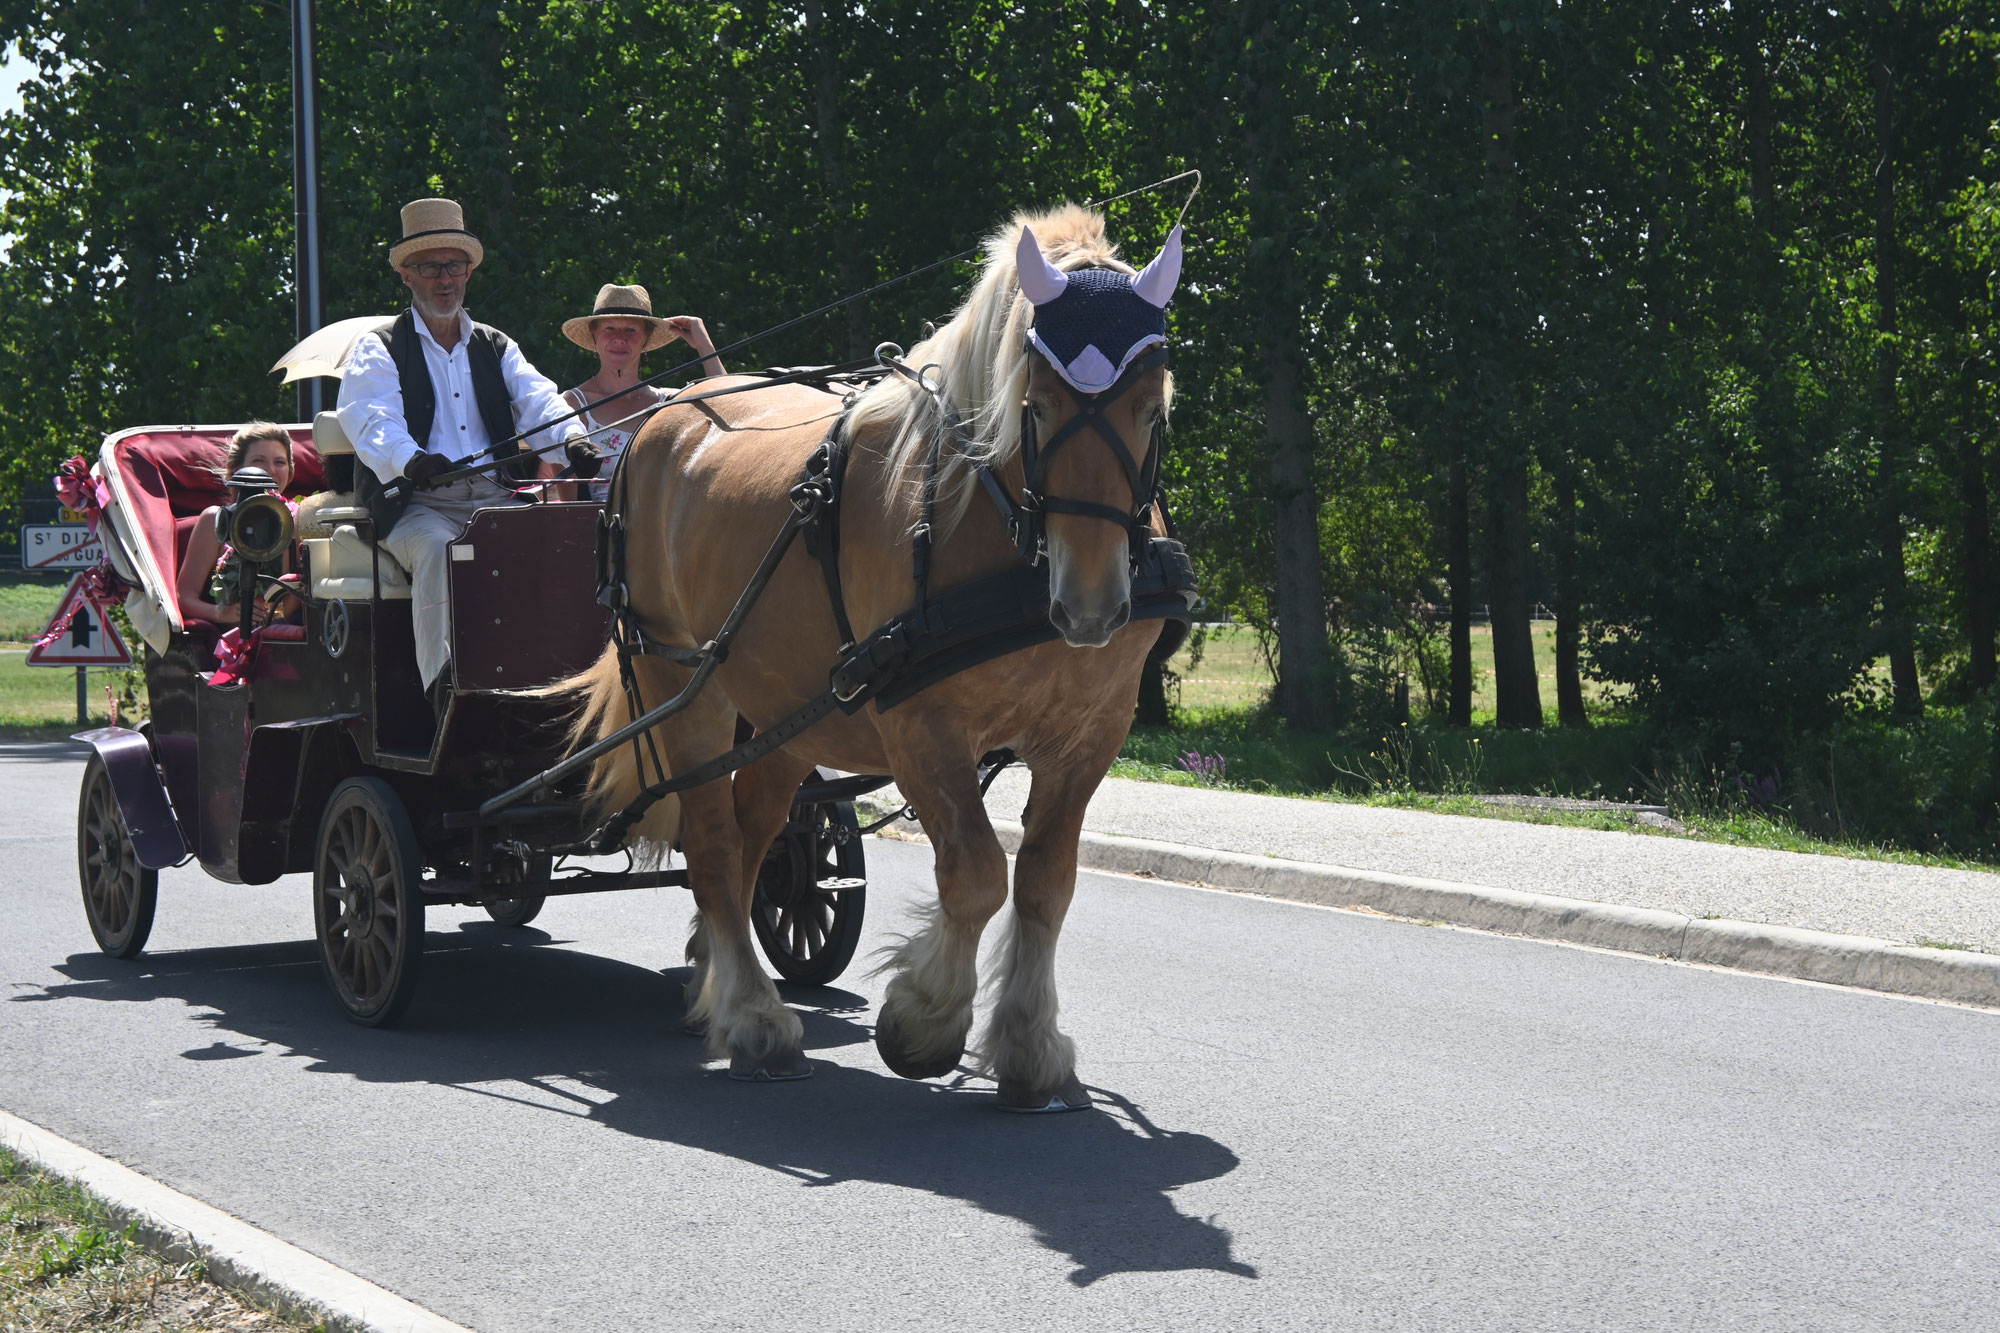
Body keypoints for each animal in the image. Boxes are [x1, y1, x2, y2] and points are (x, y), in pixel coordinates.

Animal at [564, 202, 1184, 1104]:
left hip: (783, 713)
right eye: (1036, 405)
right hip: (683, 682)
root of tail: (666, 414)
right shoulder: (923, 729)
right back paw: (753, 1016)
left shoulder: (1091, 732)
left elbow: (1044, 882)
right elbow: (977, 872)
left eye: (1153, 405)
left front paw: (1028, 1043)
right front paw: (925, 1019)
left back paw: (716, 976)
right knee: (712, 847)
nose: (1093, 604)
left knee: (750, 841)